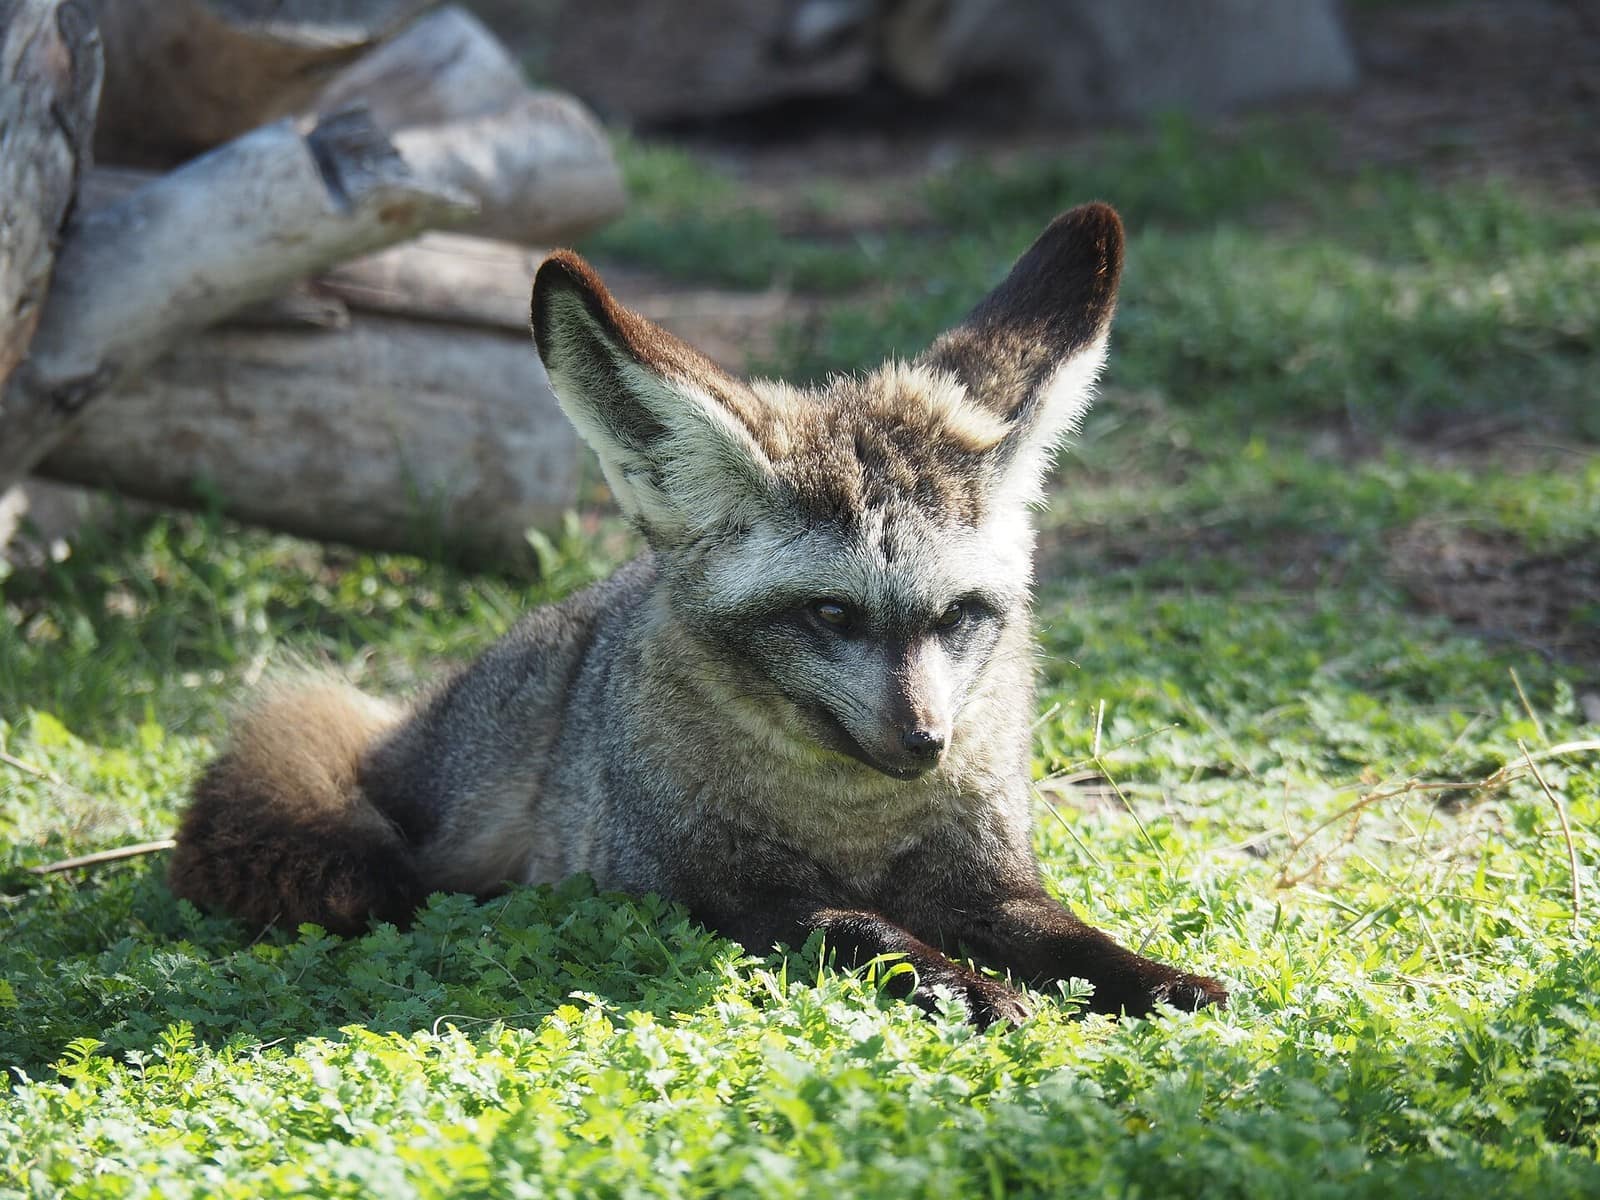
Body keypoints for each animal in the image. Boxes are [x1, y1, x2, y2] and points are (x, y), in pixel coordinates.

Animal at [168, 202, 1228, 1026]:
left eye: (960, 615)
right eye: (831, 613)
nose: (926, 741)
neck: (850, 821)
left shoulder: (989, 878)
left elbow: (1073, 940)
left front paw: (1157, 979)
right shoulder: (697, 886)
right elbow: (856, 925)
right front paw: (953, 982)